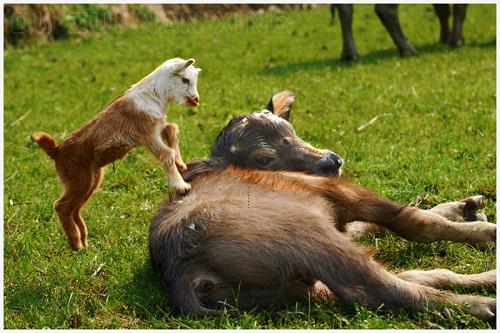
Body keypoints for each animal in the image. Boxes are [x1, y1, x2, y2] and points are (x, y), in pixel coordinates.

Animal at [148, 90, 496, 320]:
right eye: (263, 159)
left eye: (290, 130)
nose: (332, 161)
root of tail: (179, 272)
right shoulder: (338, 191)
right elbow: (414, 221)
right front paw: (485, 231)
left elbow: (374, 225)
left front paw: (462, 207)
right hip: (308, 235)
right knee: (383, 288)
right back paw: (483, 303)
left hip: (294, 286)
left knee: (400, 280)